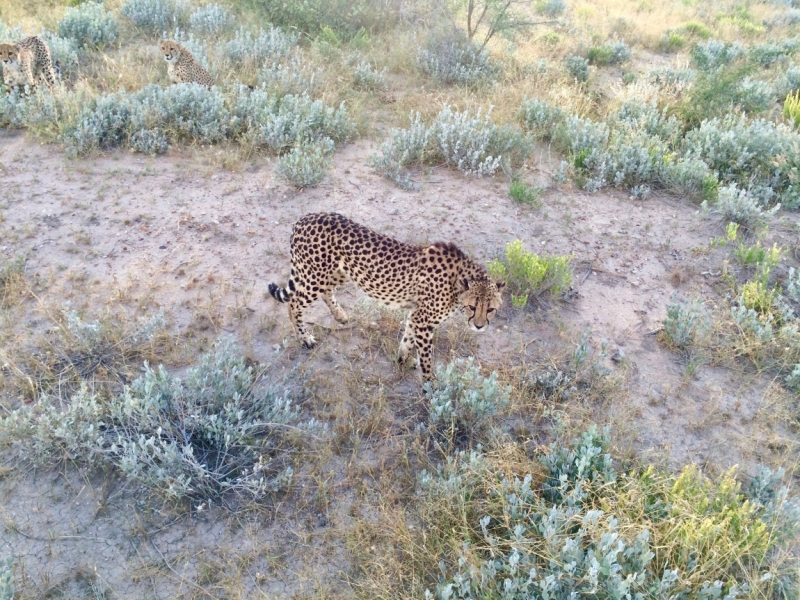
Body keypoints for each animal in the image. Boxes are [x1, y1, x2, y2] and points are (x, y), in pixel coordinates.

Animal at [268, 213, 506, 382]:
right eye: (472, 307)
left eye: (491, 309)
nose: (479, 326)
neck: (458, 281)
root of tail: (305, 217)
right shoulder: (424, 320)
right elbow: (426, 356)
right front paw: (431, 386)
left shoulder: (416, 316)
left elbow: (408, 339)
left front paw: (402, 360)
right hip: (315, 277)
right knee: (294, 303)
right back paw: (304, 337)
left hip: (337, 273)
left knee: (324, 292)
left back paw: (340, 315)